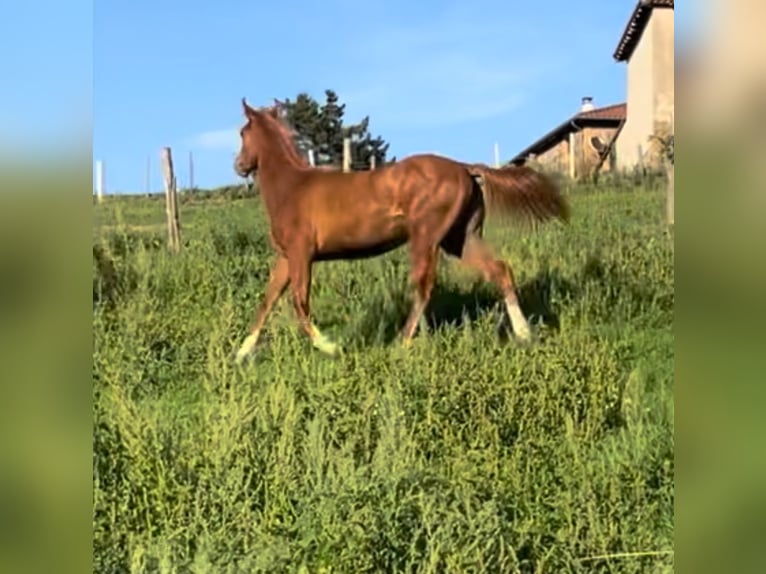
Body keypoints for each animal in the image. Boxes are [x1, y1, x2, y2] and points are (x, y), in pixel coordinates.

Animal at [233, 98, 570, 362]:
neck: (292, 188)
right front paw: (240, 354)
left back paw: (402, 343)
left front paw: (331, 346)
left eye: (242, 133)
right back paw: (524, 334)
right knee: (500, 270)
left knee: (424, 286)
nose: (238, 165)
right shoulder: (286, 257)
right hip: (460, 238)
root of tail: (464, 168)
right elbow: (267, 300)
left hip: (426, 237)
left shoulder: (302, 253)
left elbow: (299, 302)